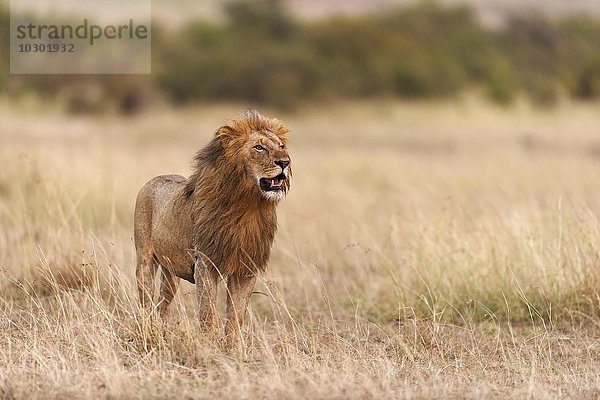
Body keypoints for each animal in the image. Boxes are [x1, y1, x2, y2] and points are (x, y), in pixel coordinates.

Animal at [133, 109, 290, 346]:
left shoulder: (246, 268)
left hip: (171, 273)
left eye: (281, 145)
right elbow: (208, 313)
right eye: (259, 147)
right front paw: (210, 345)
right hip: (145, 261)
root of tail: (154, 179)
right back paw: (148, 331)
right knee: (146, 302)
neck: (248, 206)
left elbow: (236, 315)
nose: (285, 162)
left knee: (163, 305)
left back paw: (162, 333)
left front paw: (233, 348)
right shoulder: (206, 264)